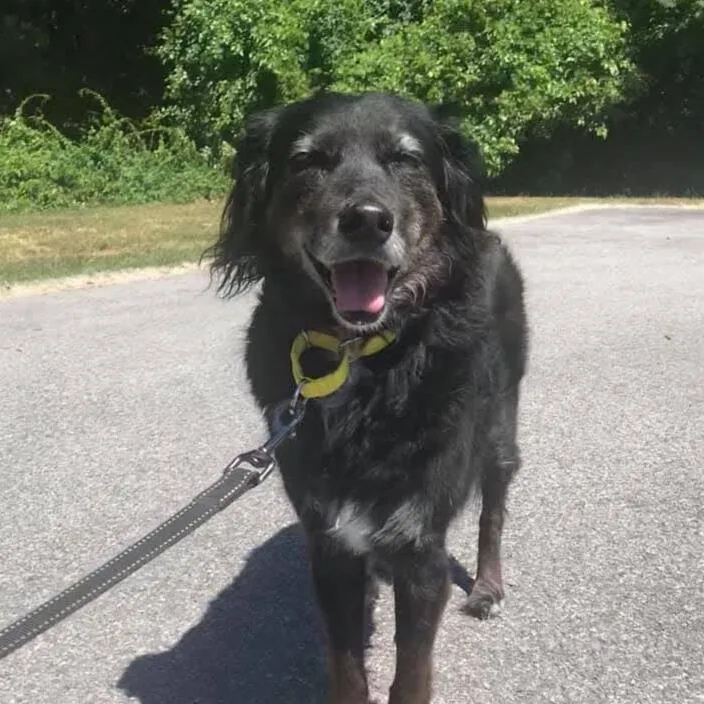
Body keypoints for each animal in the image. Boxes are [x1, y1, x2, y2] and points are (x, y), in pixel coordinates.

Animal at [209, 93, 528, 704]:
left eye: (405, 159)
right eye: (307, 160)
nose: (366, 221)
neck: (362, 361)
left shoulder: (421, 548)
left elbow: (410, 673)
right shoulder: (329, 544)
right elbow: (345, 663)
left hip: (501, 429)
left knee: (493, 512)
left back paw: (488, 587)